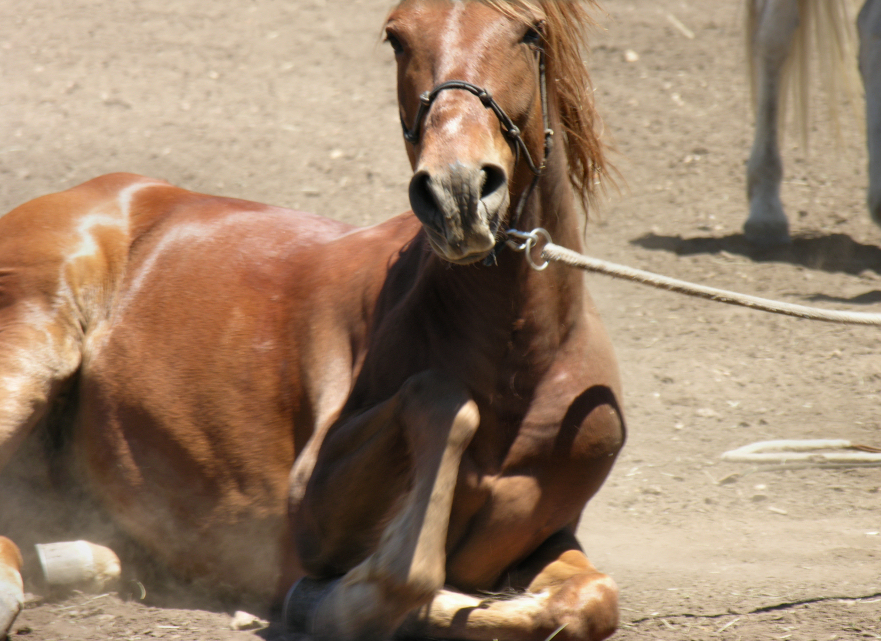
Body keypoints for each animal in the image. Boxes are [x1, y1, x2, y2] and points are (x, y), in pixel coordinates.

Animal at [0, 0, 624, 636]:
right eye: (397, 38)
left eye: (531, 31)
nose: (457, 193)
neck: (524, 367)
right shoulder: (312, 512)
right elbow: (440, 422)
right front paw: (343, 602)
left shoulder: (546, 538)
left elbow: (592, 599)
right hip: (26, 356)